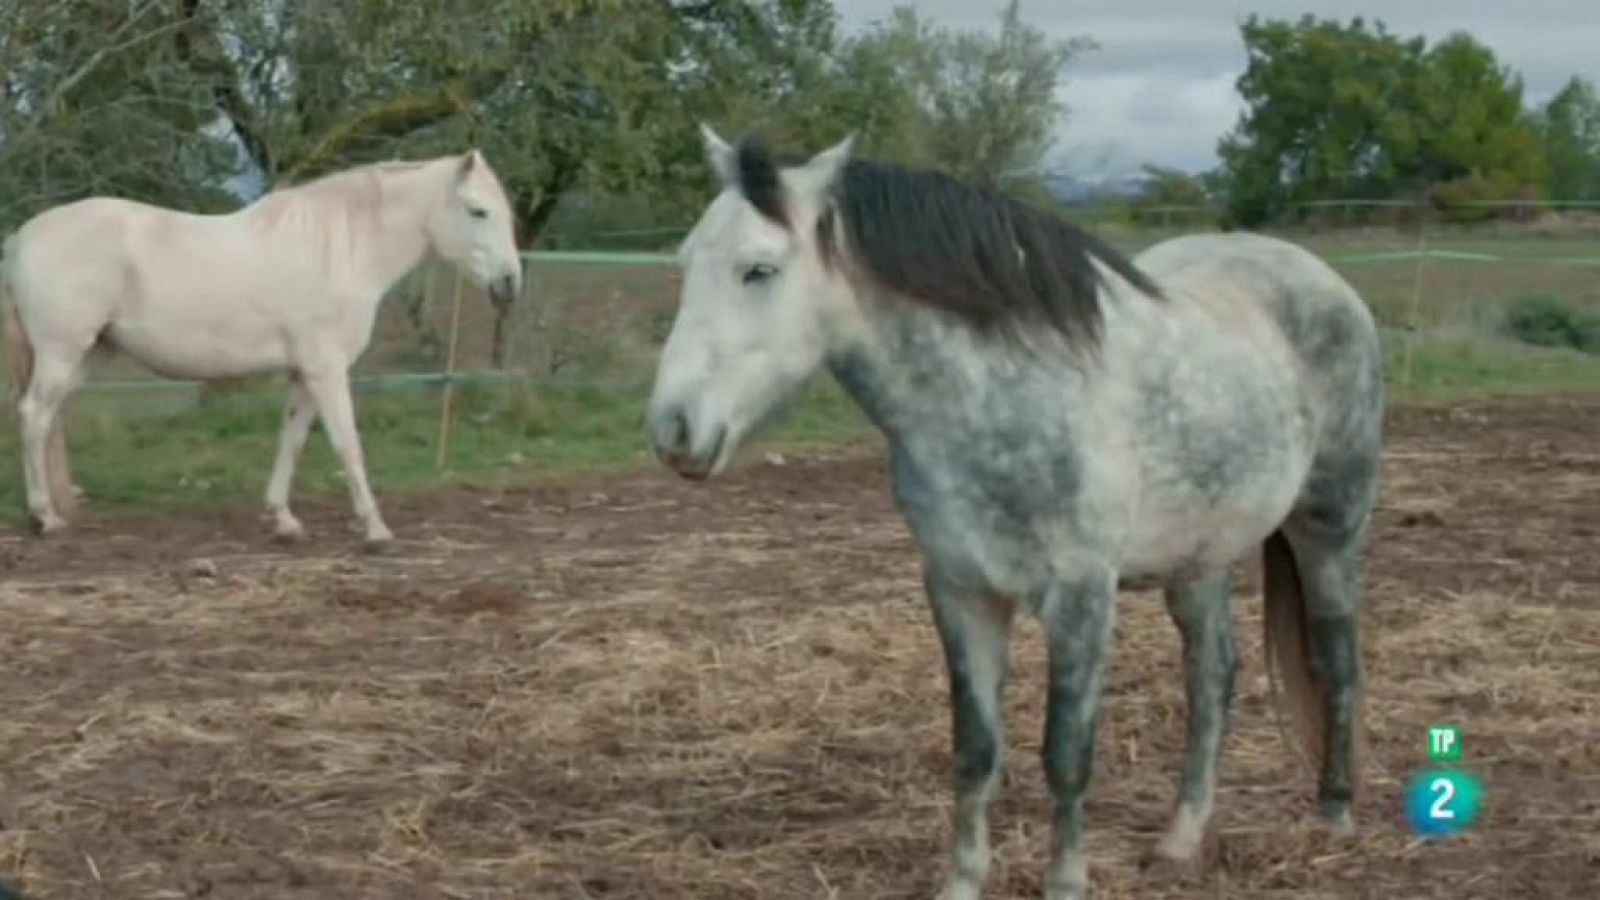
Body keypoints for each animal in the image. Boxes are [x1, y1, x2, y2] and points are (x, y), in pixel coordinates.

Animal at [1, 149, 518, 538]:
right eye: (478, 211)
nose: (510, 284)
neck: (341, 248)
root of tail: (23, 238)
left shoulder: (304, 373)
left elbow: (291, 439)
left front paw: (282, 518)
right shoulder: (328, 370)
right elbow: (347, 444)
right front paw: (375, 527)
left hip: (85, 356)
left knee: (47, 422)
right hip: (61, 354)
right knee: (33, 417)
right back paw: (45, 517)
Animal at [643, 128, 1382, 896]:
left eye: (758, 270)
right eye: (687, 262)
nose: (674, 431)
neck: (1001, 395)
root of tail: (1321, 281)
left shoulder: (1081, 599)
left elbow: (1065, 755)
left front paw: (1065, 883)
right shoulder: (960, 591)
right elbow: (974, 749)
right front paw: (961, 882)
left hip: (1330, 528)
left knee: (1335, 658)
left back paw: (1334, 814)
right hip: (1200, 559)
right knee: (1212, 680)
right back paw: (1181, 839)